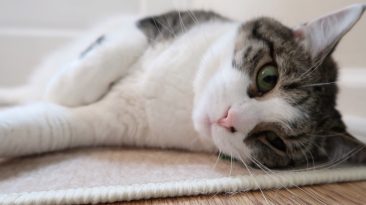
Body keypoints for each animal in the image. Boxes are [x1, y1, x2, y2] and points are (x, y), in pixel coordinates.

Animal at [0, 4, 364, 168]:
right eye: (267, 77)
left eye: (273, 140)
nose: (228, 118)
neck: (185, 92)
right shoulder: (170, 18)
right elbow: (129, 37)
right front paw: (69, 86)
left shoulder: (100, 122)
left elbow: (42, 127)